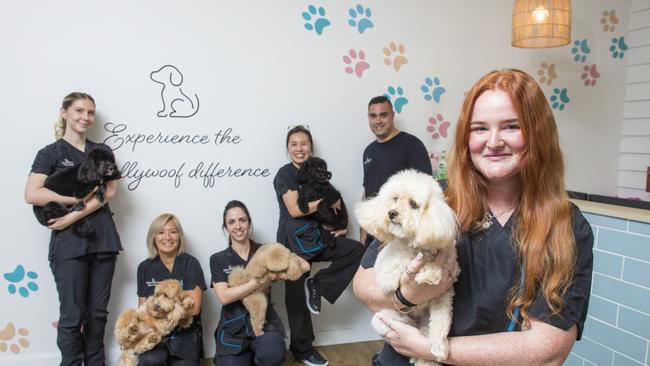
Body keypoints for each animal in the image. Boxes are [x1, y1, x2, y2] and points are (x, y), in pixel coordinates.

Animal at [354, 170, 456, 364]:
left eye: (413, 204)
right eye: (394, 199)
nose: (391, 213)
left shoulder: (443, 296)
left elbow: (441, 323)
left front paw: (439, 347)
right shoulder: (387, 276)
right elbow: (405, 264)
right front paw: (429, 273)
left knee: (426, 331)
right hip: (386, 318)